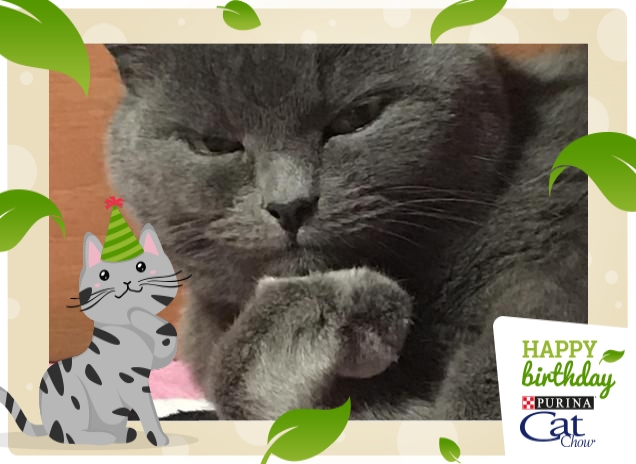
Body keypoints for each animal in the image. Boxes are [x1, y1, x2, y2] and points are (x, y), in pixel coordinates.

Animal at [1, 224, 184, 444]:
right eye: (104, 275)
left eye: (141, 266)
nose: (127, 281)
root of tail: (45, 423)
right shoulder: (132, 383)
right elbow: (148, 411)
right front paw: (158, 438)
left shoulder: (155, 359)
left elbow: (166, 332)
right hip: (75, 399)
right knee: (68, 435)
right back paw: (102, 437)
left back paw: (122, 434)